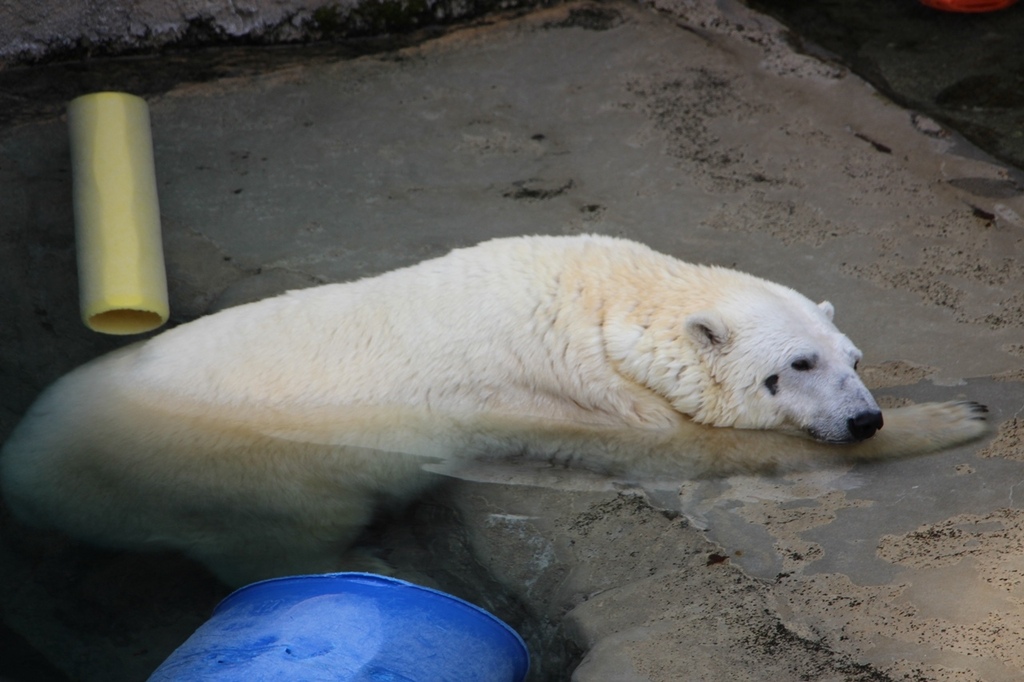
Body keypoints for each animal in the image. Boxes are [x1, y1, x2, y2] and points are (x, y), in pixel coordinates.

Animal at [2, 235, 991, 585]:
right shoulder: (565, 396)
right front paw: (959, 415)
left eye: (853, 359)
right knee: (278, 540)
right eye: (799, 365)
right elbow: (697, 452)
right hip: (244, 482)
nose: (862, 417)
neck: (600, 297)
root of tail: (25, 472)